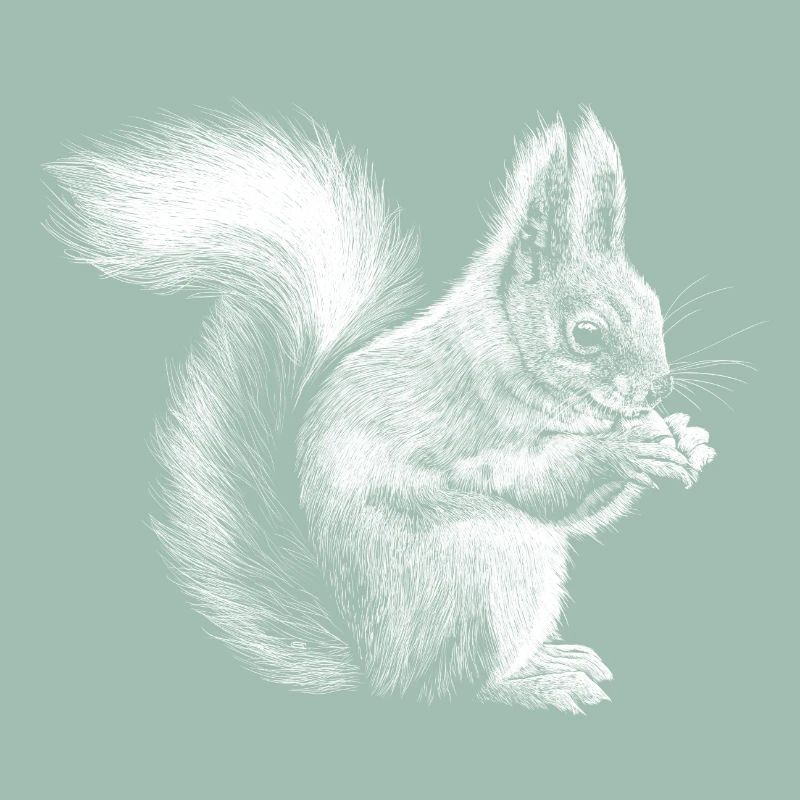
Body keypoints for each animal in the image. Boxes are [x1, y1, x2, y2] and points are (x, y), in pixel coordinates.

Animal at [45, 106, 715, 713]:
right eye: (586, 334)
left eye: (652, 305)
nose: (657, 389)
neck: (508, 348)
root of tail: (376, 666)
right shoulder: (476, 431)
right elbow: (537, 483)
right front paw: (624, 447)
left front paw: (687, 438)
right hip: (487, 560)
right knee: (450, 688)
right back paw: (533, 683)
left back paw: (551, 659)